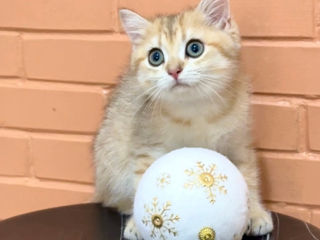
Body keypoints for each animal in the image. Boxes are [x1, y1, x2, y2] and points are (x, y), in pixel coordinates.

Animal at [94, 0, 274, 238]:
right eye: (155, 57)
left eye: (194, 48)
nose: (173, 71)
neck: (194, 110)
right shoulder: (146, 148)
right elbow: (142, 181)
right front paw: (137, 224)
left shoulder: (238, 142)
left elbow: (248, 176)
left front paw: (255, 212)